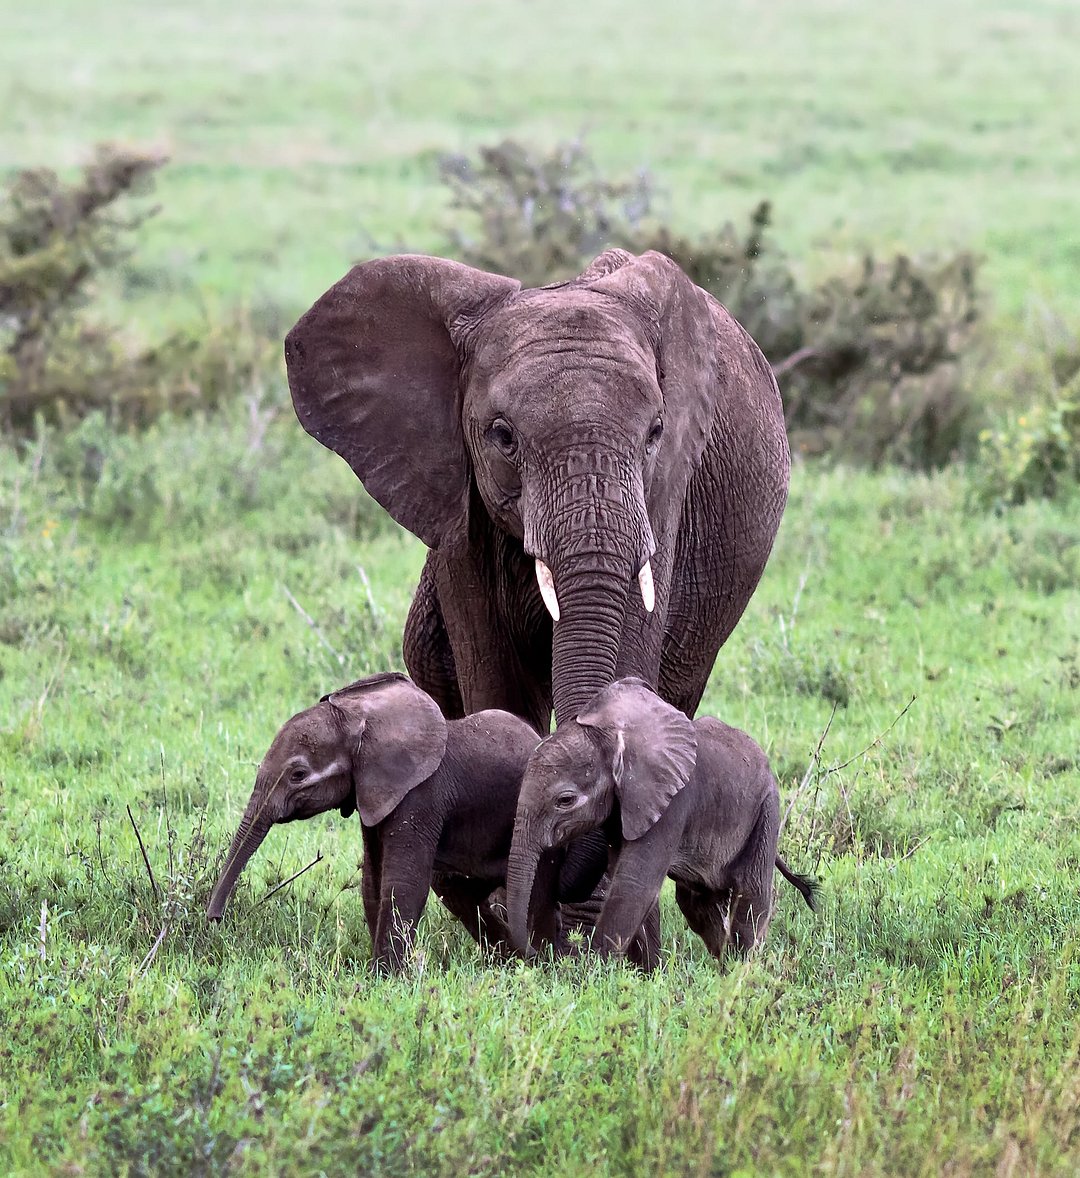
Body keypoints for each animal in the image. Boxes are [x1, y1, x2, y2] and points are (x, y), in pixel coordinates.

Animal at [204, 672, 645, 972]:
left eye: (297, 774)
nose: (214, 920)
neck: (365, 718)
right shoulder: (376, 796)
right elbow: (374, 883)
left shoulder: (421, 796)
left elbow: (402, 885)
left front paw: (385, 979)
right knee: (460, 892)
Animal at [506, 678, 818, 968]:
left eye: (565, 800)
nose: (536, 955)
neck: (614, 738)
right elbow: (628, 878)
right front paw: (644, 973)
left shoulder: (672, 805)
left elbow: (633, 884)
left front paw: (590, 973)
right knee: (696, 903)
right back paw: (723, 967)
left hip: (766, 811)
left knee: (751, 894)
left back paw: (739, 971)